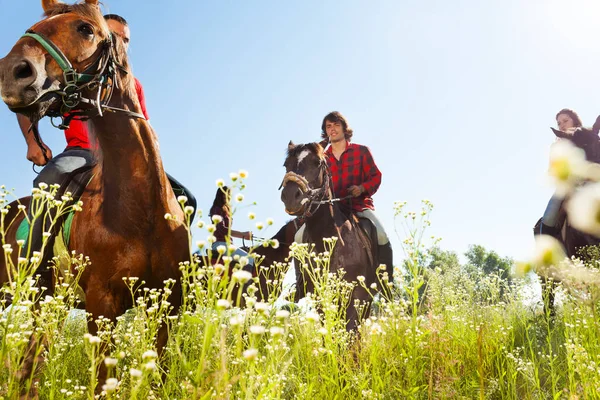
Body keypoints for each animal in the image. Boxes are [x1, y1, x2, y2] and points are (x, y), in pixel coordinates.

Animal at [0, 0, 188, 386]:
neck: (139, 208)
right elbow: (103, 382)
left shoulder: (166, 305)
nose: (11, 72)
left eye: (85, 29)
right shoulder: (102, 306)